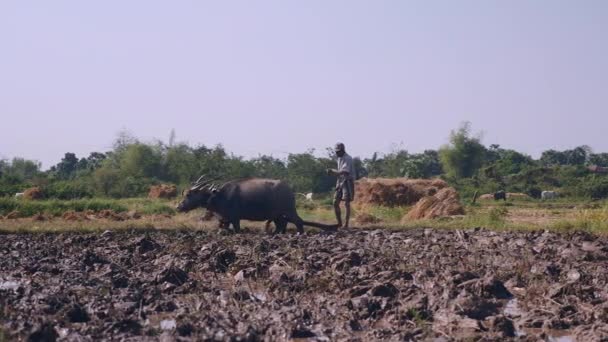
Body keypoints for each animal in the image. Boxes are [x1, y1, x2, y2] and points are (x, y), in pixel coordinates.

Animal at [176, 175, 338, 234]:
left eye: (189, 194)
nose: (179, 206)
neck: (219, 196)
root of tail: (288, 189)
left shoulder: (235, 219)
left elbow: (237, 230)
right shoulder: (225, 220)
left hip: (289, 210)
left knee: (298, 222)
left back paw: (299, 234)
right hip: (278, 215)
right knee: (282, 225)